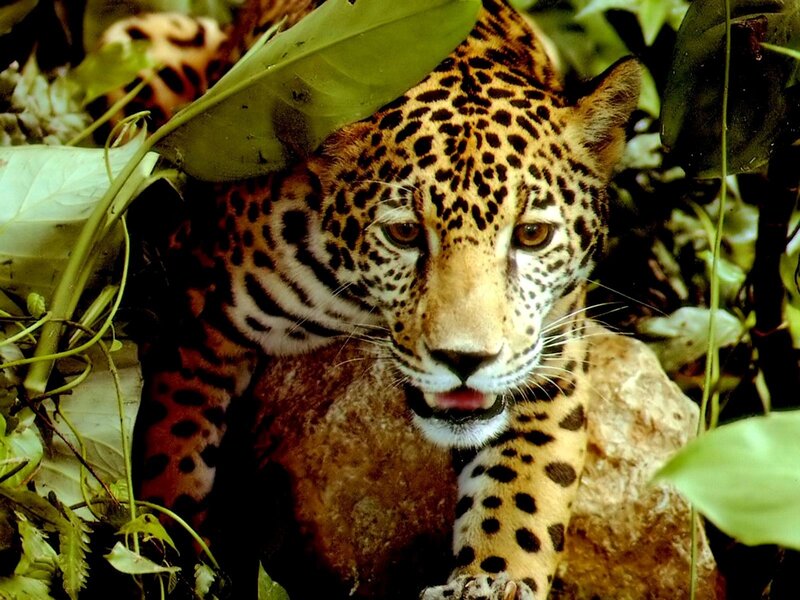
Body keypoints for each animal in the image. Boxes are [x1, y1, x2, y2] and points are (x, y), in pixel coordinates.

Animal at [110, 0, 641, 597]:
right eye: (405, 233)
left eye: (531, 235)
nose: (464, 360)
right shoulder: (197, 320)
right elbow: (171, 459)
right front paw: (168, 560)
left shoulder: (551, 363)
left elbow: (525, 495)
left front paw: (492, 578)